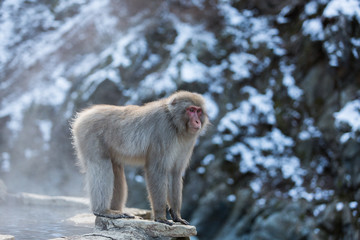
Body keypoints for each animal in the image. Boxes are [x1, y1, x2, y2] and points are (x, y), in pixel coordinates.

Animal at [71, 91, 208, 226]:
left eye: (198, 111)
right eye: (191, 110)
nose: (197, 122)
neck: (174, 123)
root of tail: (85, 114)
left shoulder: (187, 142)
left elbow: (174, 172)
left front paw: (177, 215)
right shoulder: (163, 132)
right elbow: (157, 170)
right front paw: (160, 216)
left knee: (116, 169)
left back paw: (116, 210)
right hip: (90, 135)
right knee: (101, 165)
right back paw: (103, 210)